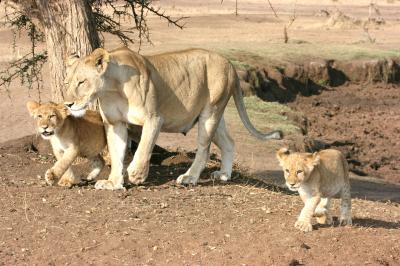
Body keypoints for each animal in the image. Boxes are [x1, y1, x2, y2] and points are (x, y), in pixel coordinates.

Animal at [65, 47, 282, 189]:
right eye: (67, 82)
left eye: (81, 82)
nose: (68, 104)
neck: (111, 89)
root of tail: (230, 64)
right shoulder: (114, 123)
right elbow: (117, 153)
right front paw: (113, 182)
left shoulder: (154, 118)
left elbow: (143, 148)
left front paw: (136, 174)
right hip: (215, 116)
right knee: (229, 142)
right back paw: (224, 175)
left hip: (210, 113)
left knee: (204, 149)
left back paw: (189, 177)